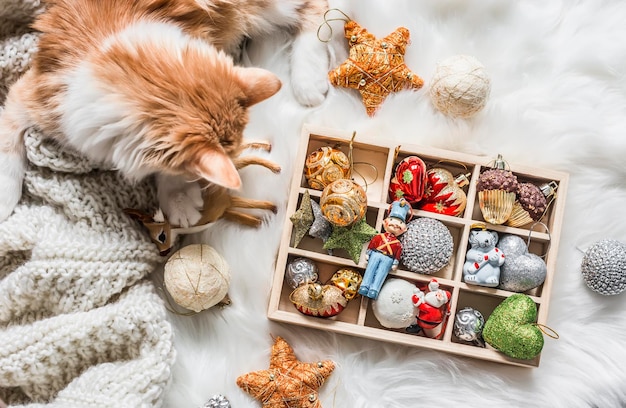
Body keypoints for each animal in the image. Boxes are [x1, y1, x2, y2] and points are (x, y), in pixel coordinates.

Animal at [0, 0, 330, 226]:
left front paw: (178, 199)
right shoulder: (28, 96)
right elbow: (8, 144)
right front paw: (5, 197)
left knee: (316, 9)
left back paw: (307, 82)